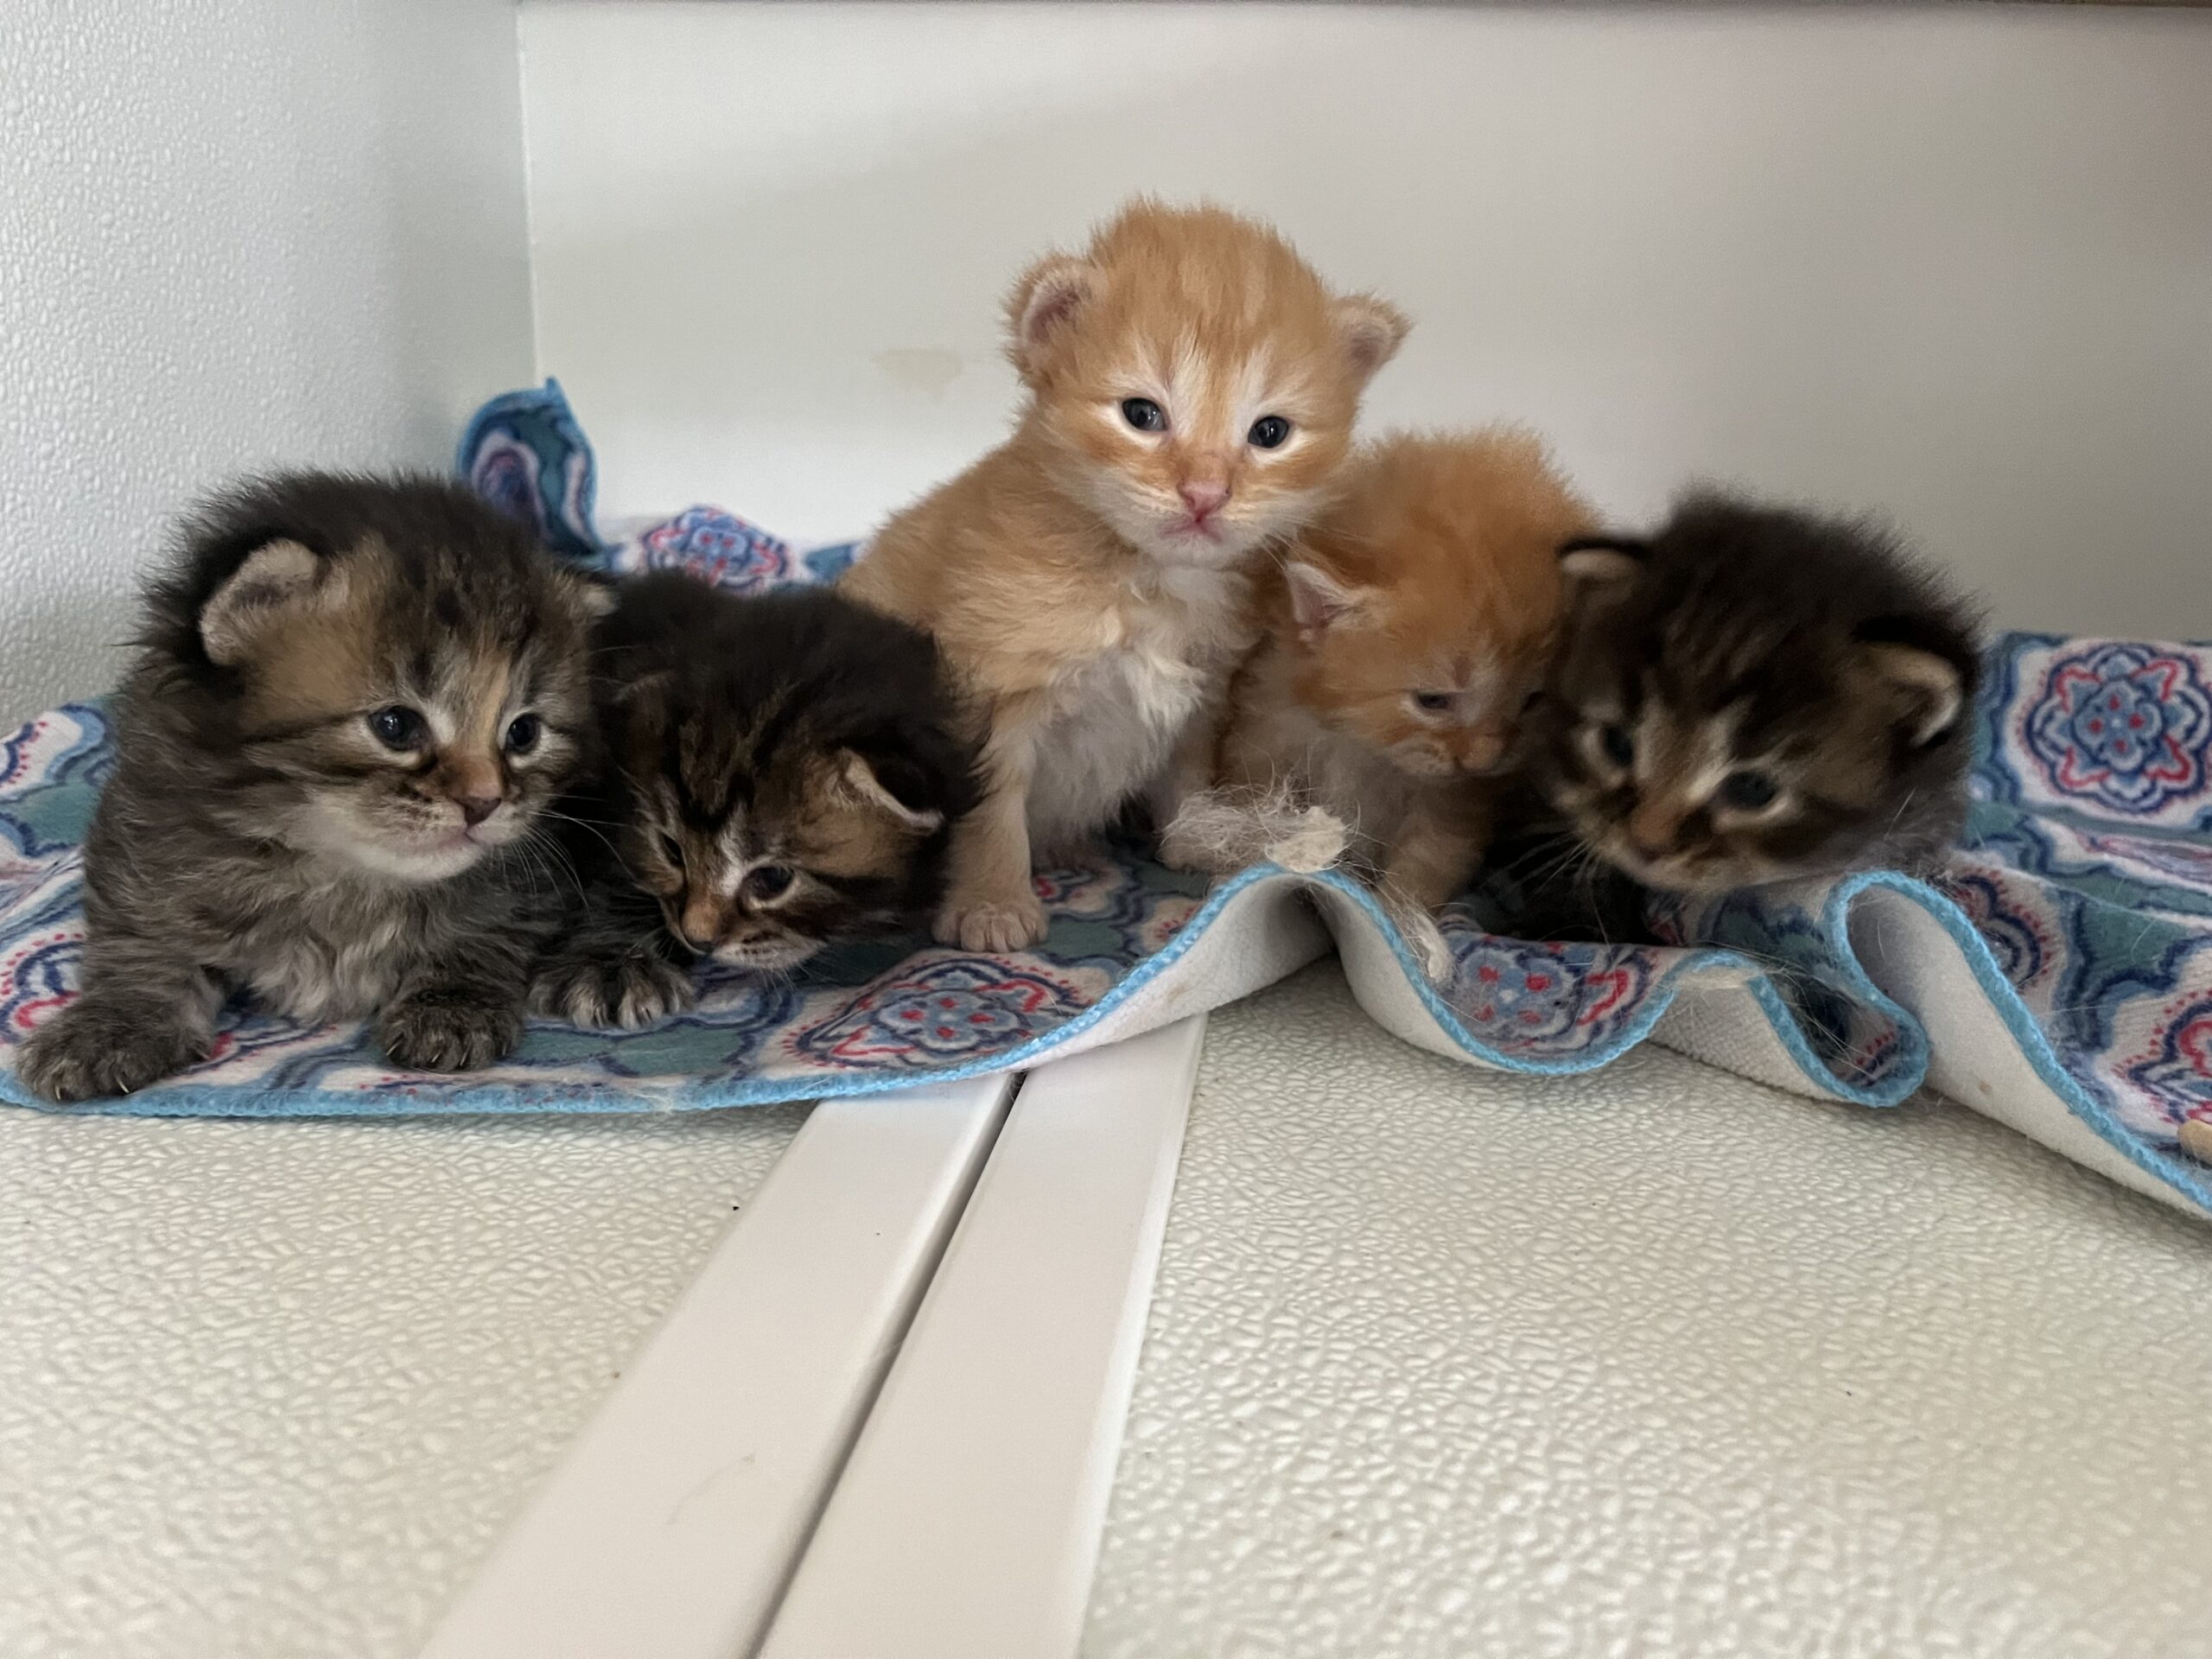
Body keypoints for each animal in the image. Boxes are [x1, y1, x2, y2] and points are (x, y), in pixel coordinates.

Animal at [16, 473, 606, 1101]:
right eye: (395, 726)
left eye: (523, 732)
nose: (484, 802)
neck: (340, 873)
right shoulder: (139, 846)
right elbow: (142, 942)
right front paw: (111, 1026)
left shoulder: (530, 881)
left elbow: (483, 932)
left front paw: (450, 1004)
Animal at [841, 199, 1408, 952]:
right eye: (1142, 415)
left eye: (1270, 433)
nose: (1206, 495)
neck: (1146, 578)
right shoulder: (992, 691)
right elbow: (992, 810)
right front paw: (992, 904)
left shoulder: (1200, 693)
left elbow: (1188, 772)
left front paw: (1201, 840)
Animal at [1170, 429, 1594, 915]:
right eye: (1432, 701)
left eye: (1532, 701)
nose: (1485, 760)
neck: (1363, 747)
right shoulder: (1266, 739)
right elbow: (1255, 818)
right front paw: (1240, 881)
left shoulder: (1453, 800)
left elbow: (1430, 858)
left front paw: (1396, 920)